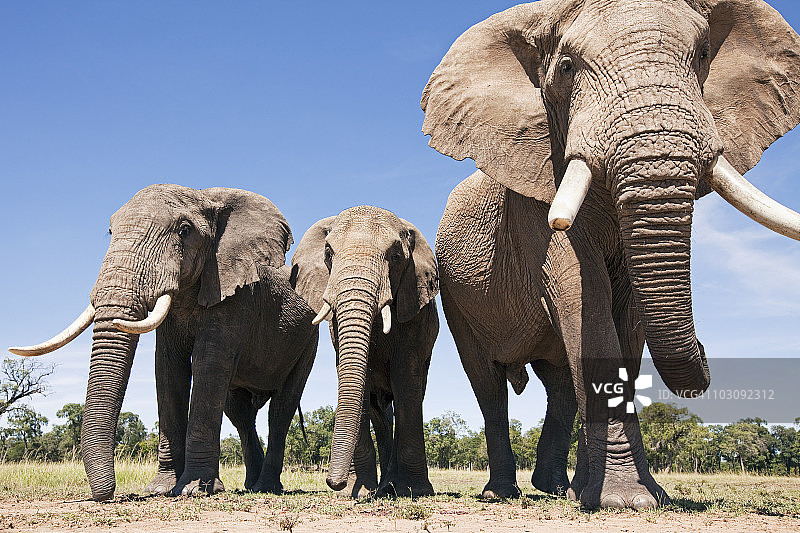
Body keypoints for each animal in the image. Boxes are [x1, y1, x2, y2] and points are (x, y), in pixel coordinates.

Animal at [9, 184, 319, 501]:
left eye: (184, 230)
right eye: (110, 231)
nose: (107, 494)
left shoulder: (235, 295)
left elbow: (208, 366)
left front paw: (194, 490)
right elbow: (168, 369)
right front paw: (162, 489)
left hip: (308, 341)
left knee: (280, 408)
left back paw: (266, 487)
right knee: (240, 412)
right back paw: (250, 486)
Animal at [290, 206, 439, 497]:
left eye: (395, 256)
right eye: (328, 253)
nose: (333, 482)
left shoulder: (415, 312)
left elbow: (407, 380)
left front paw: (415, 490)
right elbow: (357, 376)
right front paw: (356, 492)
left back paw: (391, 486)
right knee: (379, 412)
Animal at [422, 0, 800, 509]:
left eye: (702, 56)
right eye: (565, 68)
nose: (705, 356)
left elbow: (629, 316)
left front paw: (627, 496)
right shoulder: (534, 202)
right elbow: (585, 299)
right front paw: (625, 501)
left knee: (559, 381)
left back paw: (558, 489)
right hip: (459, 303)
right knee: (488, 384)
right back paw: (502, 494)